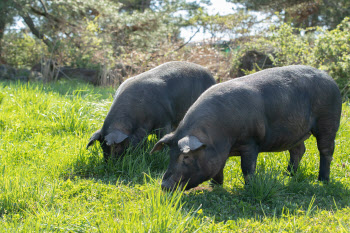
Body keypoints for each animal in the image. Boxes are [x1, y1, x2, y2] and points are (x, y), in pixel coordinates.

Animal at [87, 61, 216, 161]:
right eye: (102, 147)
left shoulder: (164, 121)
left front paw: (163, 154)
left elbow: (162, 136)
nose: (109, 163)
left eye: (117, 147)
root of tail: (212, 76)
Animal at [151, 64, 342, 190]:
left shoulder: (251, 141)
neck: (218, 136)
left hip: (328, 120)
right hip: (296, 132)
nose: (164, 185)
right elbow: (219, 167)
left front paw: (249, 187)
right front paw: (215, 186)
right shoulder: (221, 151)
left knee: (326, 150)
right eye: (171, 154)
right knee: (299, 150)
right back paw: (287, 175)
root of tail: (331, 79)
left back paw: (322, 181)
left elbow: (247, 167)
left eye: (186, 157)